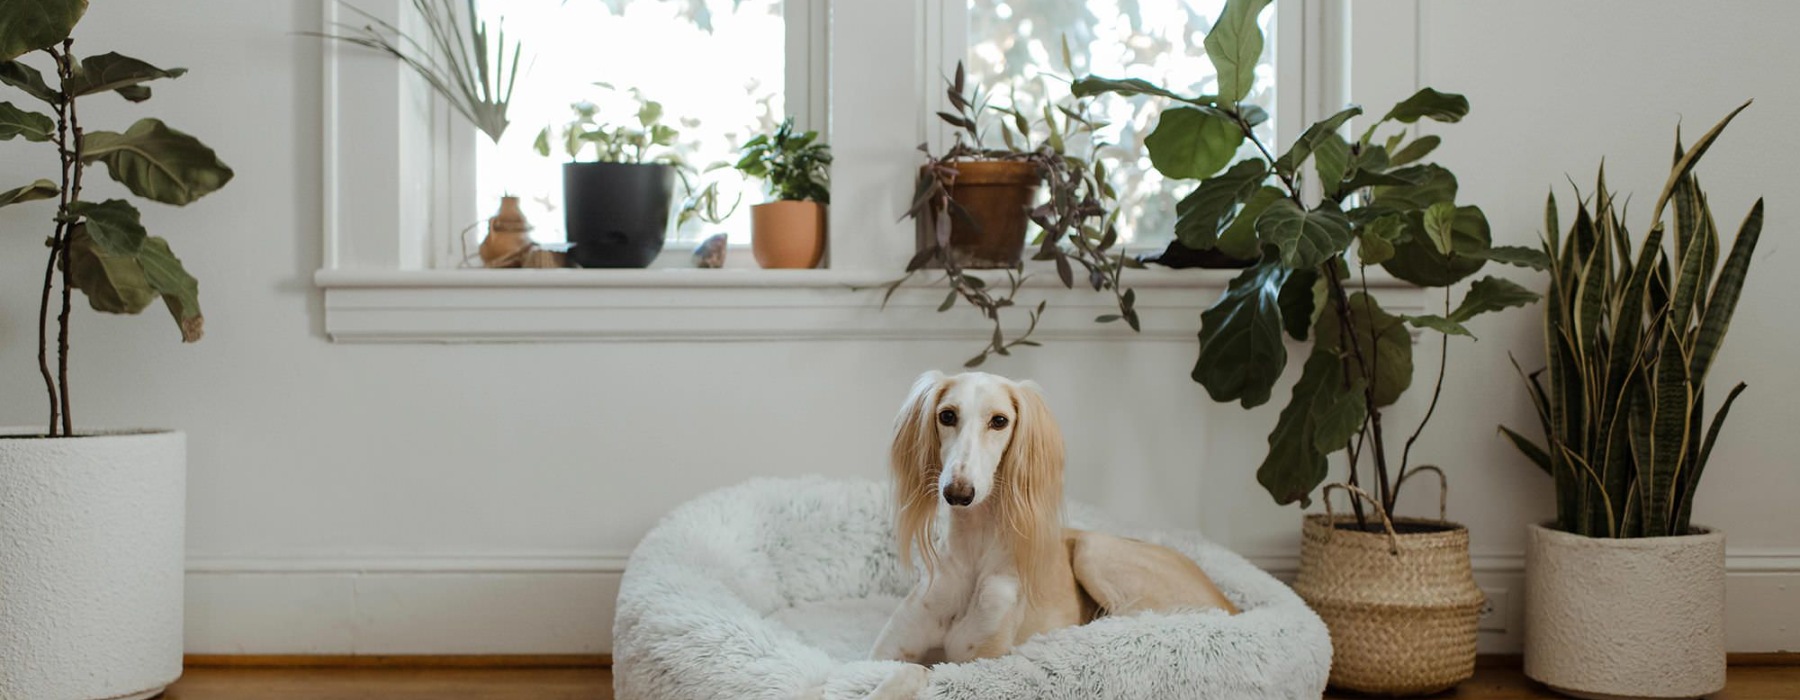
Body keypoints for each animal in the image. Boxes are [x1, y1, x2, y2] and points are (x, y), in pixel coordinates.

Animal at [871, 368, 1238, 673]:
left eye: (999, 421)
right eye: (947, 415)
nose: (958, 492)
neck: (973, 553)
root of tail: (1231, 605)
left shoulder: (979, 660)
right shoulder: (884, 656)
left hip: (1094, 550)